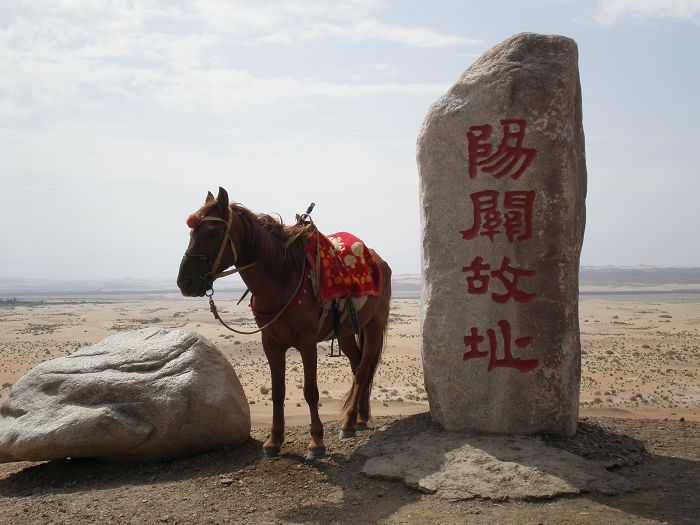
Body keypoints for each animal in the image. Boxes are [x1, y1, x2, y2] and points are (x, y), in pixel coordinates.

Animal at [178, 188, 392, 458]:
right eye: (191, 233)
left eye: (213, 233)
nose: (185, 282)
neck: (281, 278)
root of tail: (379, 260)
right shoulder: (271, 342)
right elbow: (277, 391)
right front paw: (274, 441)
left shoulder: (307, 342)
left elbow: (311, 391)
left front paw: (316, 442)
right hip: (344, 332)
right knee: (356, 367)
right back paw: (359, 419)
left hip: (374, 325)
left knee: (363, 370)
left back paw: (348, 422)